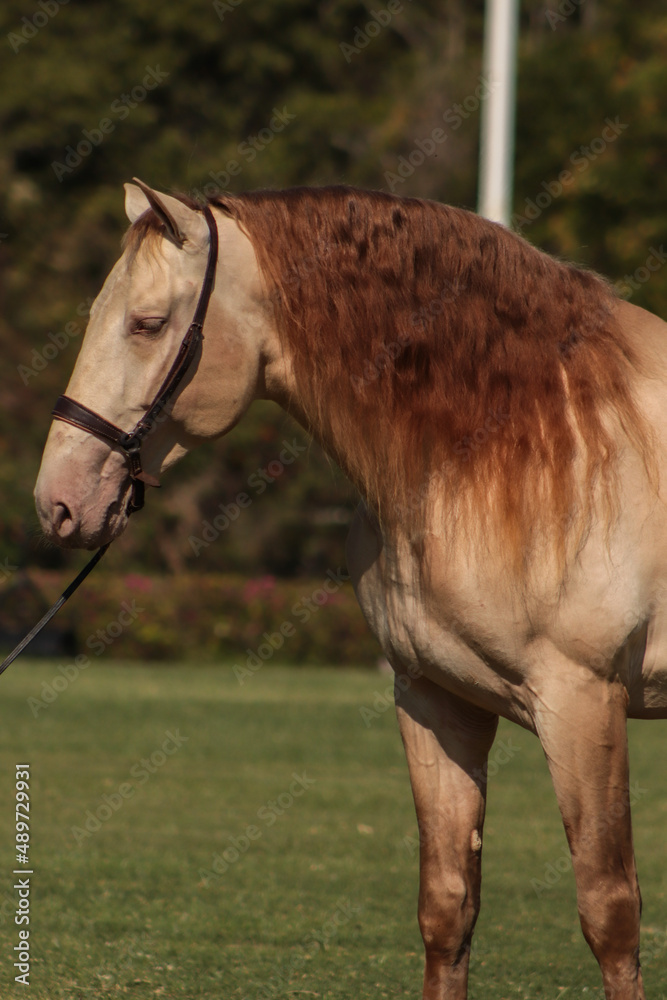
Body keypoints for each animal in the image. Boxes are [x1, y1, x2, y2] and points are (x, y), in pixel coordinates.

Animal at [34, 180, 667, 1000]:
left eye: (146, 323)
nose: (57, 501)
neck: (526, 440)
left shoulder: (582, 702)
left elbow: (608, 912)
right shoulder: (435, 700)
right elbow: (447, 908)